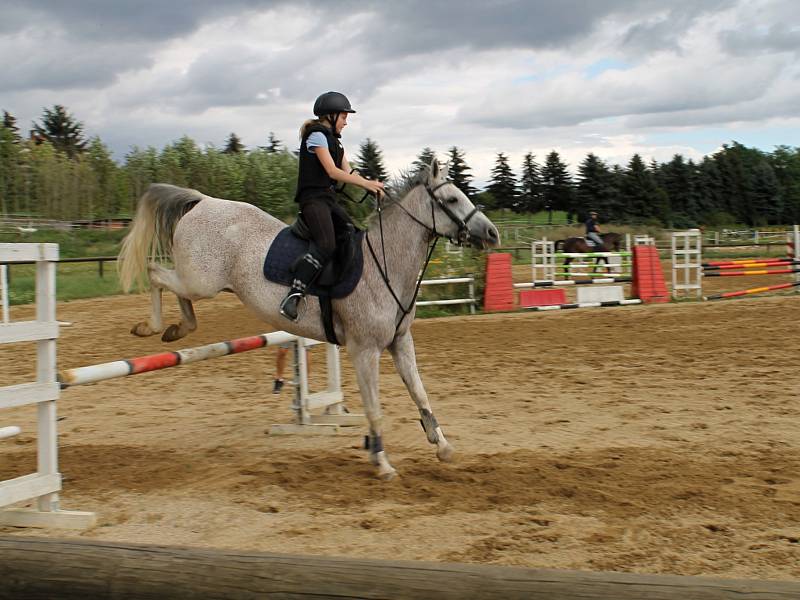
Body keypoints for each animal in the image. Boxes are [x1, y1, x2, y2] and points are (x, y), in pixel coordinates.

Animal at [117, 159, 500, 478]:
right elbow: (374, 409)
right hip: (200, 280)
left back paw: (176, 329)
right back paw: (150, 326)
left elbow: (420, 394)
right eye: (451, 199)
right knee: (154, 273)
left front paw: (443, 446)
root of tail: (204, 201)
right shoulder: (364, 350)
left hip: (198, 281)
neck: (386, 265)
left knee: (174, 291)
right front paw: (381, 462)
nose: (492, 233)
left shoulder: (400, 342)